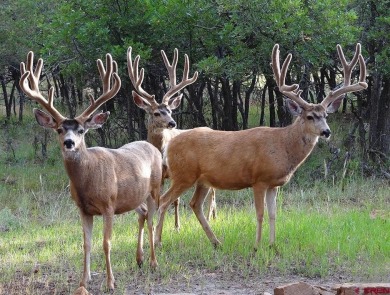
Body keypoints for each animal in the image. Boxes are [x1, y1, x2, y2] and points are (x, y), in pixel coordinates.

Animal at [19, 51, 163, 292]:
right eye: (59, 129)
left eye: (81, 130)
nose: (69, 143)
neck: (87, 182)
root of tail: (153, 146)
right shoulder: (83, 209)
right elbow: (86, 244)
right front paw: (83, 281)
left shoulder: (109, 205)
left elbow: (106, 243)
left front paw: (110, 283)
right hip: (134, 197)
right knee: (143, 214)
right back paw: (139, 259)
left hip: (155, 188)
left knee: (152, 220)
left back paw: (153, 263)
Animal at [128, 47, 218, 229]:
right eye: (156, 113)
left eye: (170, 110)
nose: (172, 122)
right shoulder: (160, 176)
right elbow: (159, 200)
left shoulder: (174, 173)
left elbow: (175, 200)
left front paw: (177, 226)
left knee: (213, 191)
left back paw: (212, 216)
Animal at [154, 42, 368, 251]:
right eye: (309, 116)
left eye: (325, 115)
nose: (326, 131)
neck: (283, 145)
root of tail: (169, 145)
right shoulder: (259, 179)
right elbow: (260, 213)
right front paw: (256, 247)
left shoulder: (274, 184)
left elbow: (273, 214)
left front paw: (273, 246)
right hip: (184, 174)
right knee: (164, 200)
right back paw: (158, 242)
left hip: (203, 179)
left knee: (194, 204)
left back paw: (216, 243)